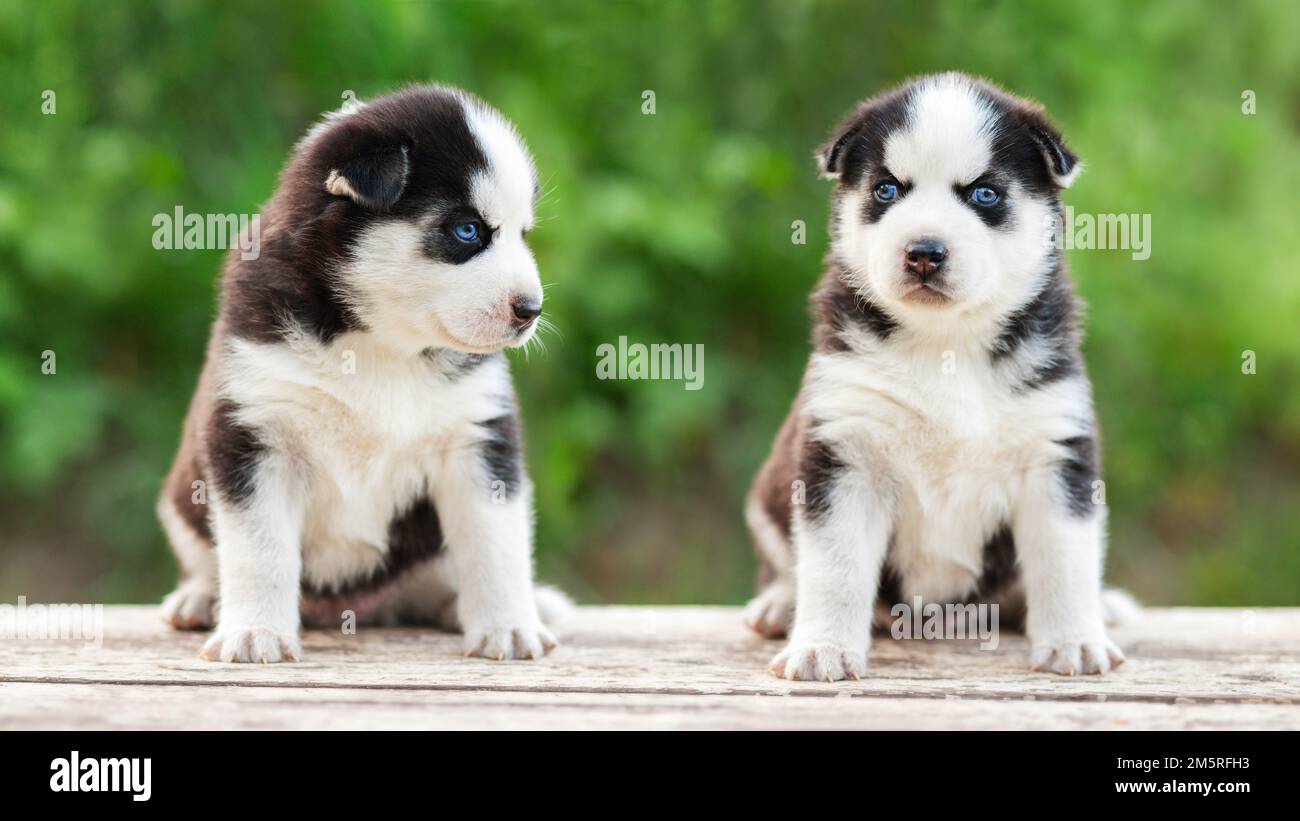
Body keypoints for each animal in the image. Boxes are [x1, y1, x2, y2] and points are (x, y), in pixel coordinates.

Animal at [159, 85, 566, 659]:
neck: (381, 344)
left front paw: (508, 626)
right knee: (203, 557)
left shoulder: (477, 437)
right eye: (467, 230)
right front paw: (256, 632)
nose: (531, 309)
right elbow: (259, 550)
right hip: (180, 503)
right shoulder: (255, 433)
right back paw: (199, 599)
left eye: (522, 234)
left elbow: (495, 544)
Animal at [748, 73, 1133, 680]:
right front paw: (822, 648)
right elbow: (834, 567)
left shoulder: (1055, 450)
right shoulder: (845, 452)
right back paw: (779, 602)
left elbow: (1065, 561)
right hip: (768, 493)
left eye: (984, 195)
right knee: (787, 563)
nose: (924, 252)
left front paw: (1074, 640)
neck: (947, 343)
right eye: (886, 190)